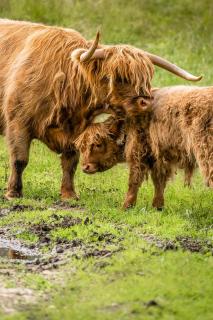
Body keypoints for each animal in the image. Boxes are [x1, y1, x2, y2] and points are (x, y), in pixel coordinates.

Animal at [0, 18, 201, 199]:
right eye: (118, 77)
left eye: (146, 78)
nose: (146, 102)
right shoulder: (18, 122)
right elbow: (20, 159)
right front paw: (13, 193)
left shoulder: (76, 129)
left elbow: (70, 161)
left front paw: (69, 194)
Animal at [77, 86, 213, 209]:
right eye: (82, 147)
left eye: (98, 144)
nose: (85, 167)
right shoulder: (158, 158)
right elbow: (158, 182)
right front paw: (157, 207)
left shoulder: (138, 152)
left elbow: (134, 180)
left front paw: (125, 207)